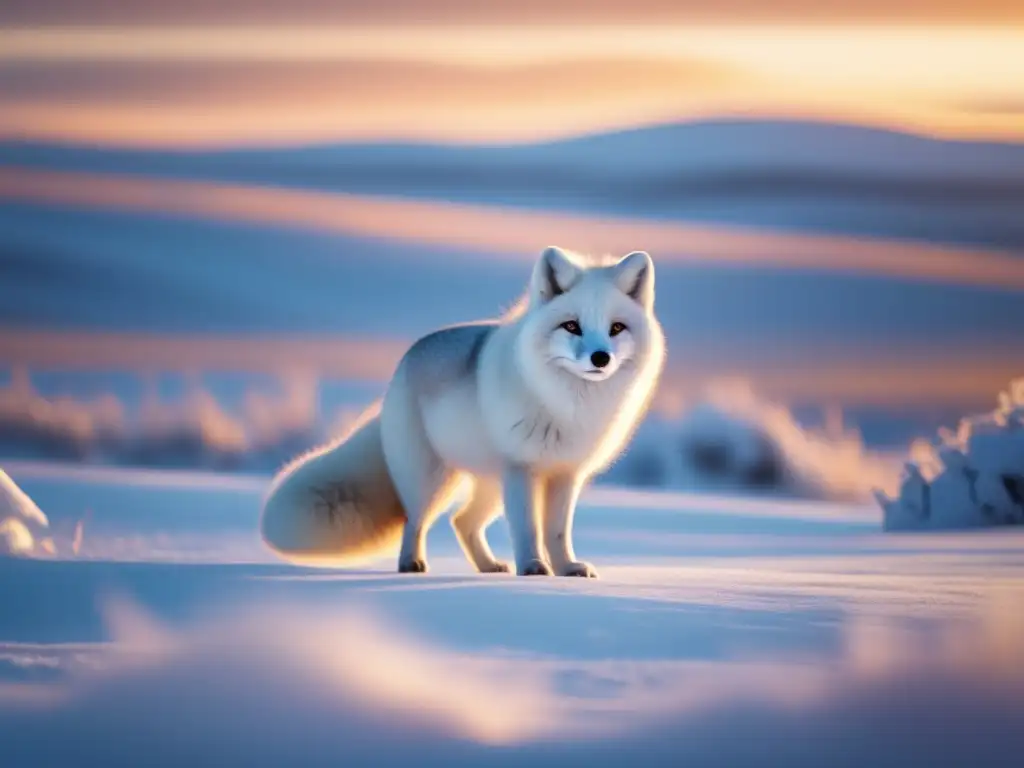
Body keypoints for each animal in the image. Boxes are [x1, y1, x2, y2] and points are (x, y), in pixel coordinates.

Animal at [260, 246, 667, 577]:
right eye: (571, 326)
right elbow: (528, 528)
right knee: (414, 520)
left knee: (462, 521)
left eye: (616, 328)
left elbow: (557, 531)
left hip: (489, 486)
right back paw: (411, 564)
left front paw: (566, 569)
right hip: (435, 481)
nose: (601, 358)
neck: (568, 405)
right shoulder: (521, 468)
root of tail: (406, 360)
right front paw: (534, 568)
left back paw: (488, 566)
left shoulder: (566, 474)